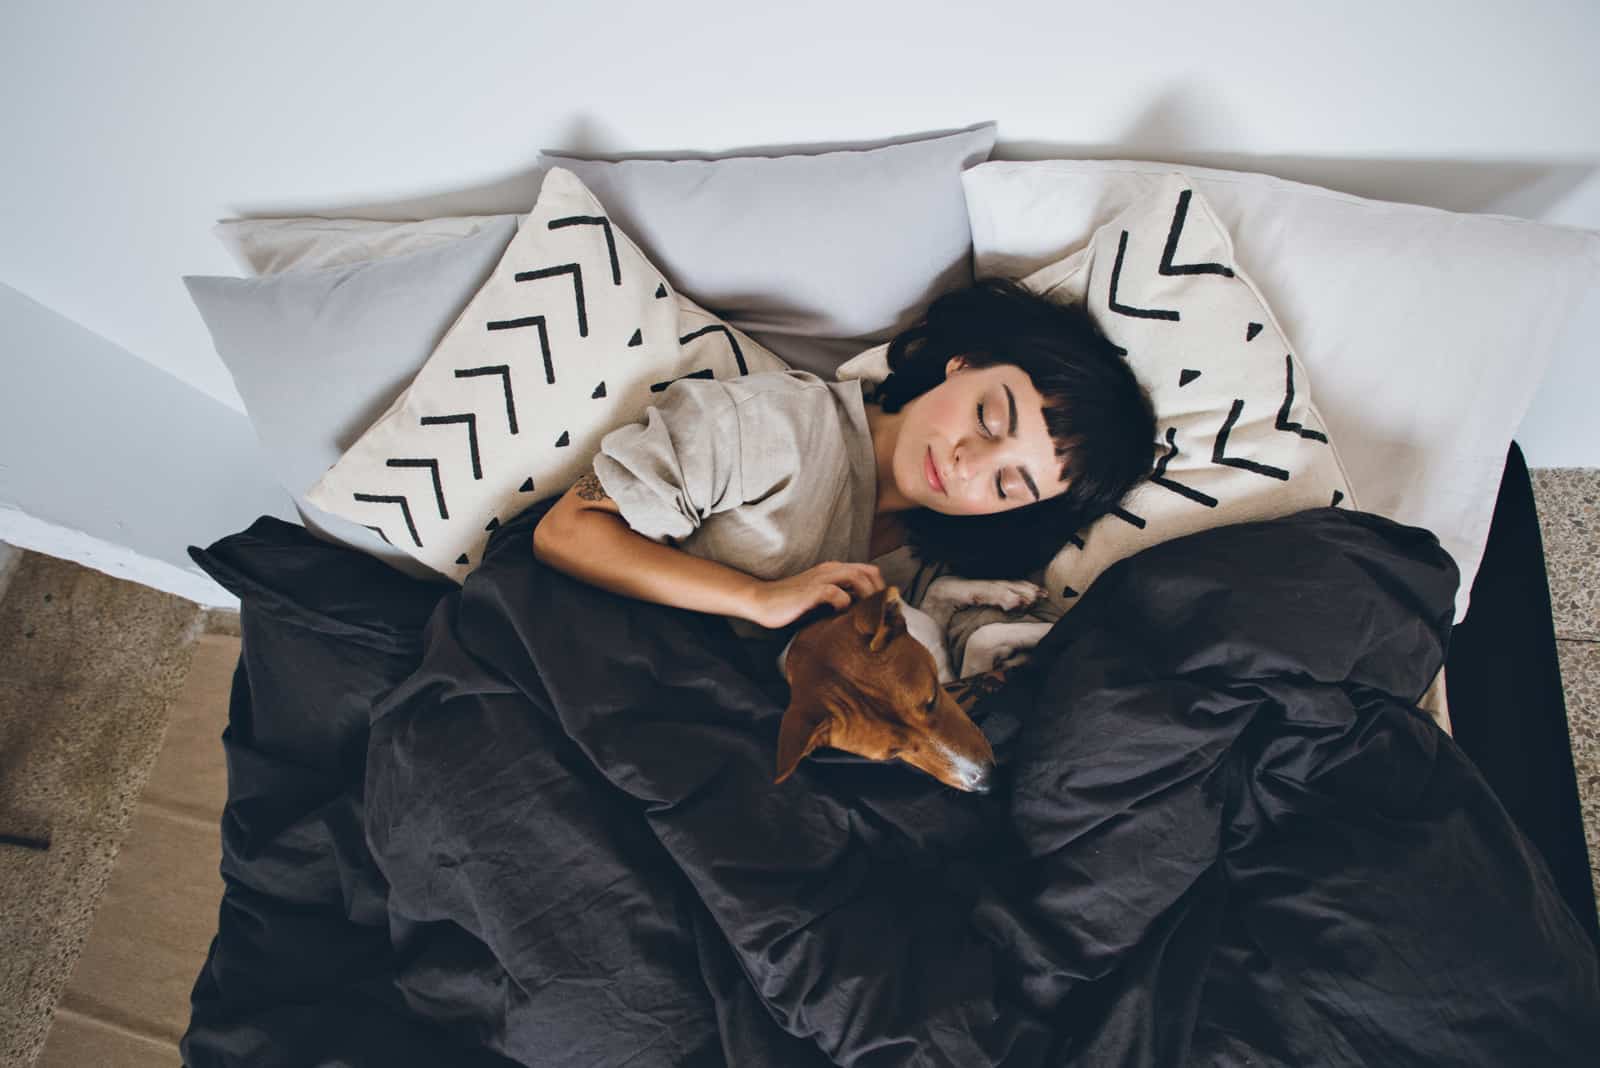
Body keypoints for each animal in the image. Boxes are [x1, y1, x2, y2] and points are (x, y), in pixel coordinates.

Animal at [774, 575, 1049, 793]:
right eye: (894, 753)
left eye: (932, 700)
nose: (988, 782)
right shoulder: (960, 681)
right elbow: (980, 638)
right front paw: (1048, 629)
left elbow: (939, 585)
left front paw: (1009, 591)